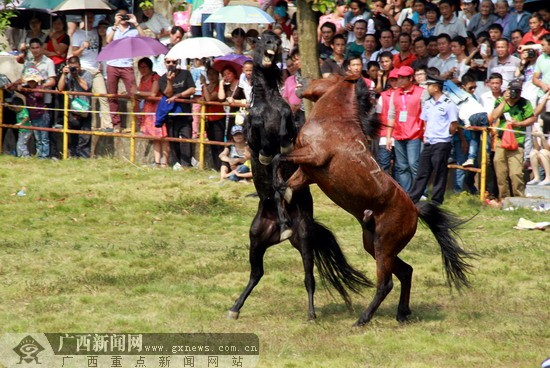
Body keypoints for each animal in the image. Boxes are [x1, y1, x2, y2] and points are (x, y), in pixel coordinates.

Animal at [229, 30, 376, 322]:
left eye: (275, 37)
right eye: (261, 39)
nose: (274, 44)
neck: (269, 104)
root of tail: (277, 232)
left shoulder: (289, 134)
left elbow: (282, 140)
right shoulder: (254, 136)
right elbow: (260, 140)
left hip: (305, 239)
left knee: (309, 277)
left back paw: (310, 313)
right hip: (256, 240)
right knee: (256, 274)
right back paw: (235, 308)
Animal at [276, 74, 478, 324]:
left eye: (325, 77)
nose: (297, 78)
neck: (334, 122)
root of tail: (415, 211)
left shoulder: (313, 156)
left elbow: (277, 159)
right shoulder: (307, 173)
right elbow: (283, 185)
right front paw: (284, 219)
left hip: (383, 246)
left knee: (386, 283)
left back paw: (362, 319)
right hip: (374, 245)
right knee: (406, 271)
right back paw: (402, 313)